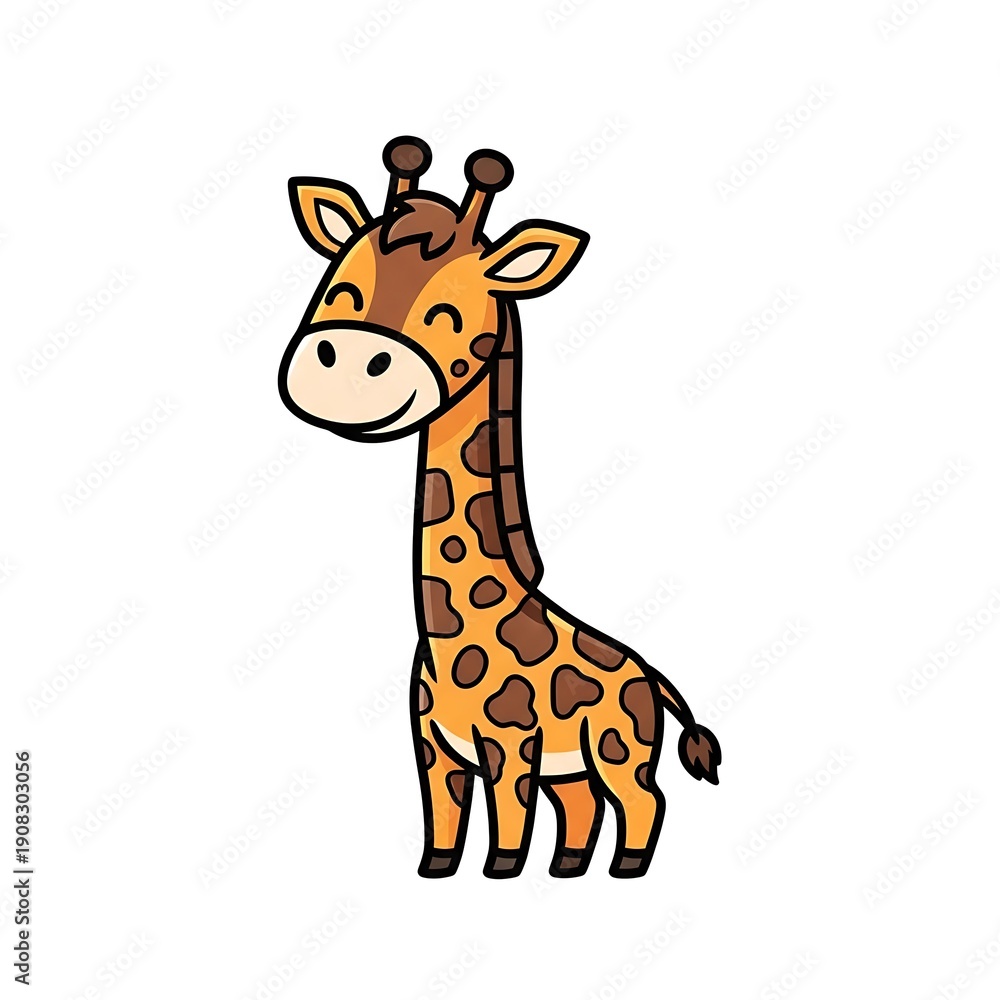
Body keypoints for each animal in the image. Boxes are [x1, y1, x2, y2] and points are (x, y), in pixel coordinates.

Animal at [278, 137, 721, 879]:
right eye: (340, 289)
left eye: (448, 314)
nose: (345, 365)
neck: (447, 631)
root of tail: (650, 677)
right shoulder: (432, 746)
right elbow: (442, 817)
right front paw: (436, 872)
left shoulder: (512, 744)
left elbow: (509, 815)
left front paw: (501, 871)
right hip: (578, 762)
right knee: (582, 805)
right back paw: (568, 868)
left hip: (618, 745)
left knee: (642, 799)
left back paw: (626, 868)